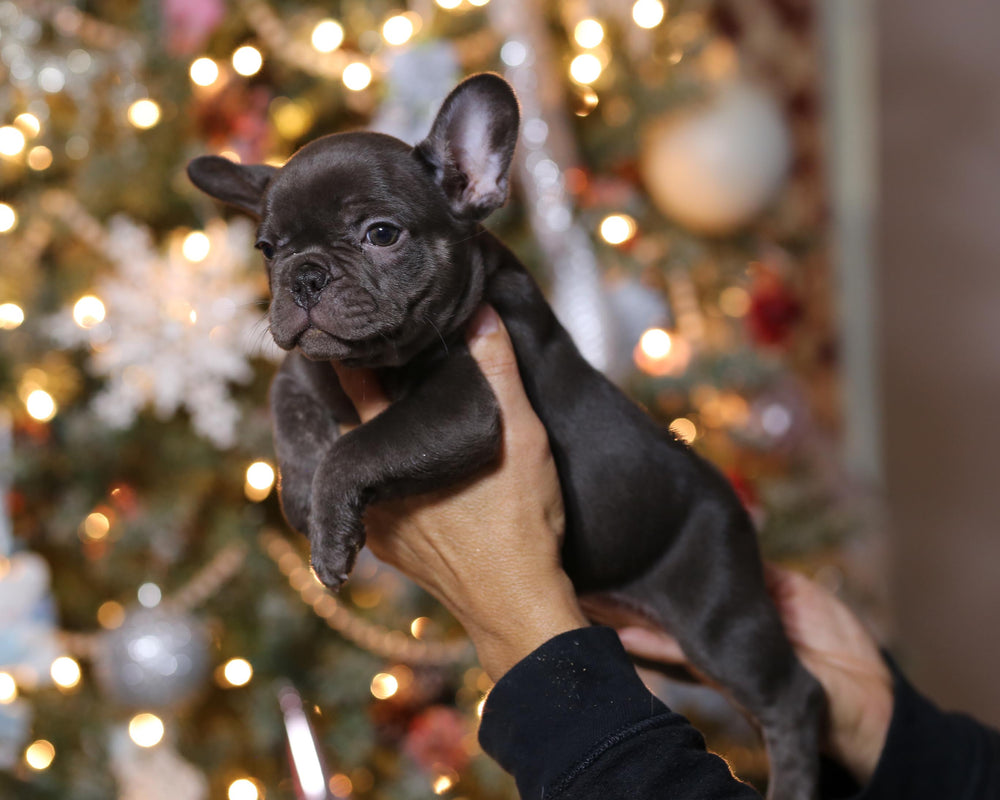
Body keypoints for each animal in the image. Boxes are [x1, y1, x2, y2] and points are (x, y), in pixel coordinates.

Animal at [188, 72, 820, 796]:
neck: (381, 362)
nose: (305, 275)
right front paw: (298, 488)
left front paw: (329, 530)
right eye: (268, 251)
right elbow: (286, 389)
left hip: (722, 620)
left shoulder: (466, 405)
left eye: (381, 233)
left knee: (792, 697)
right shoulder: (325, 364)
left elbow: (353, 447)